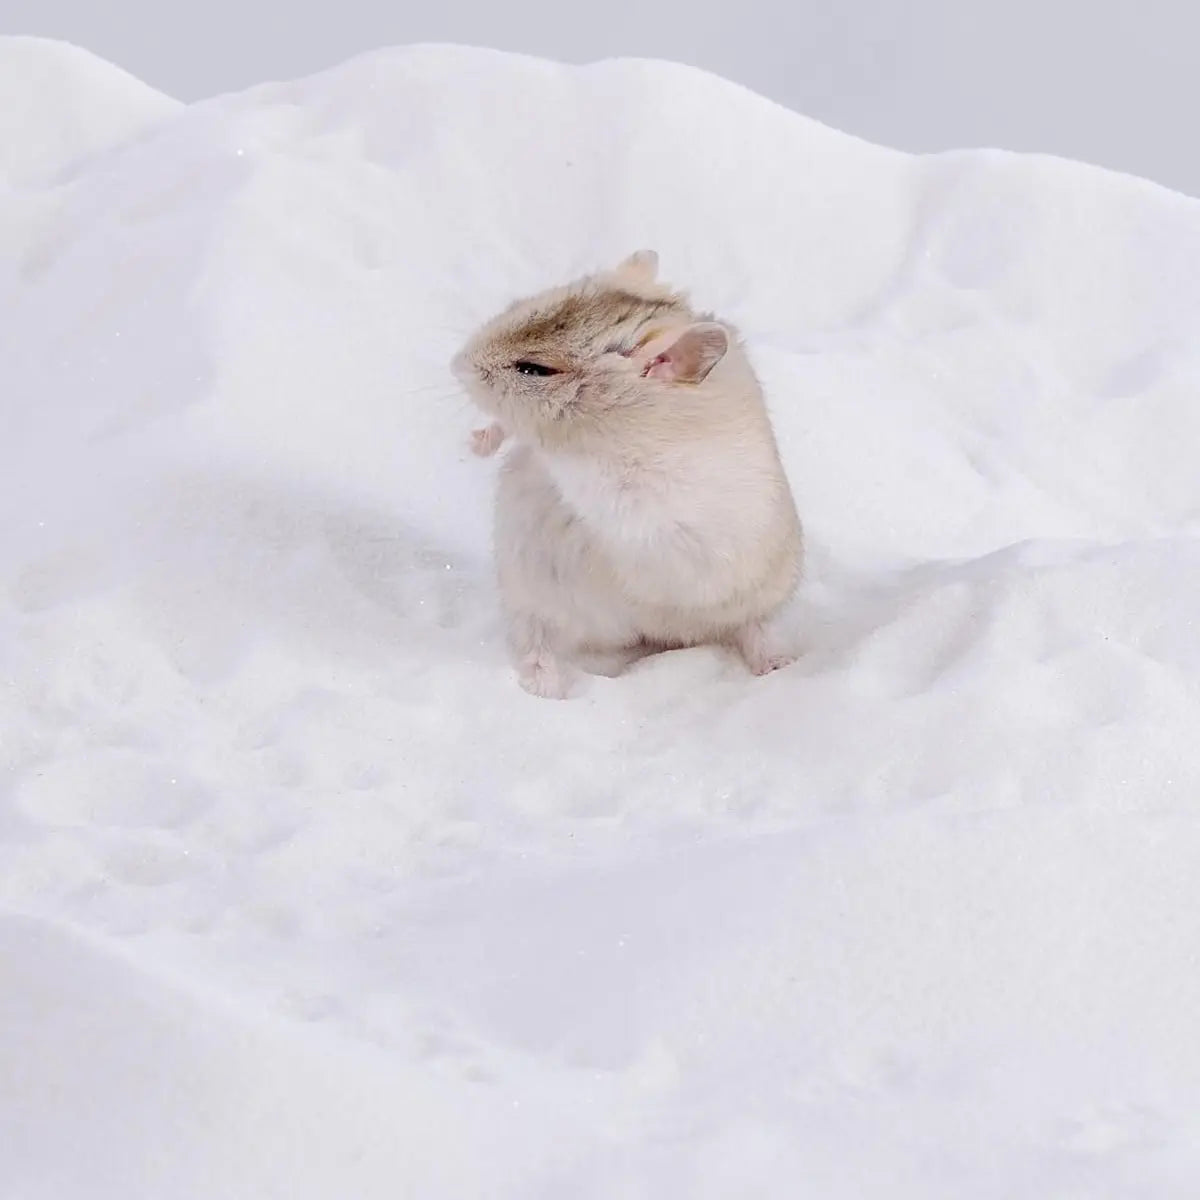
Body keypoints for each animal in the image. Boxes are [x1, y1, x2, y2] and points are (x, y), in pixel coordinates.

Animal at [451, 250, 803, 698]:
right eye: (519, 306)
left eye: (534, 369)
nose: (456, 364)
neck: (621, 423)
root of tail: (657, 636)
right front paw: (475, 443)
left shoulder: (625, 491)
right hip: (529, 594)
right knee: (536, 639)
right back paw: (547, 689)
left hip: (760, 596)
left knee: (753, 629)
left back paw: (778, 666)